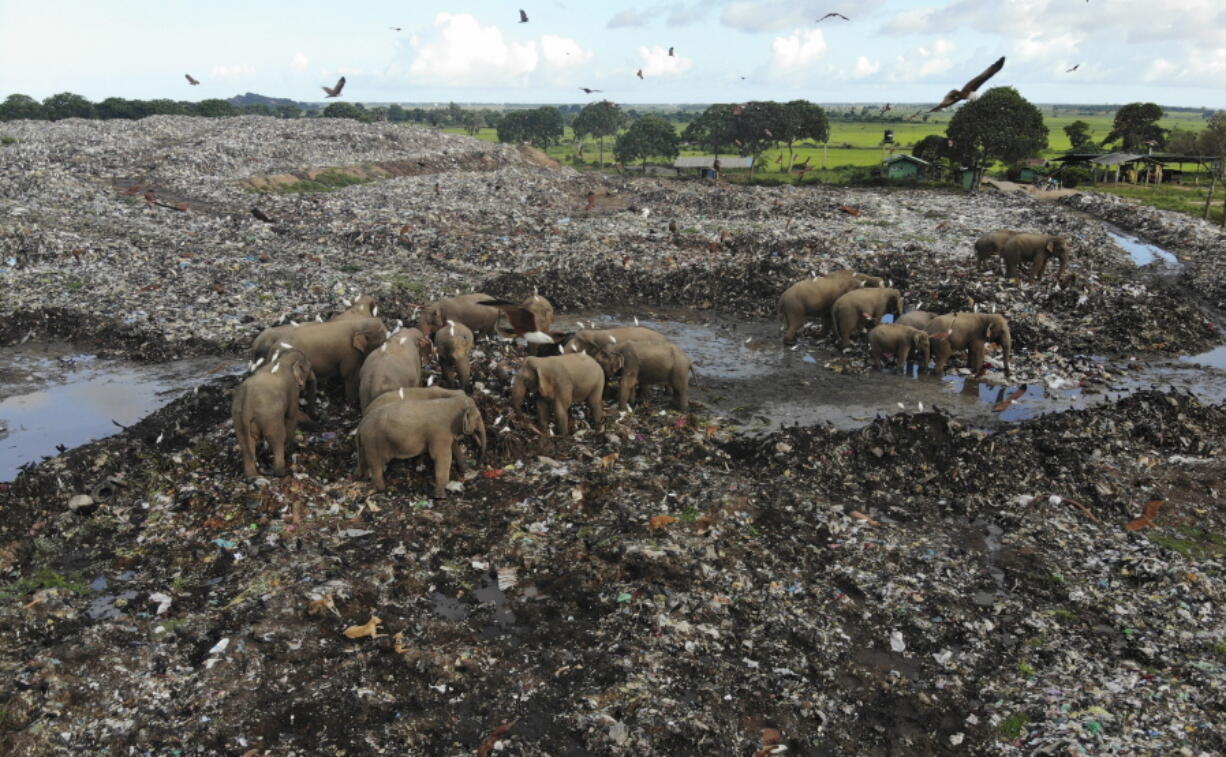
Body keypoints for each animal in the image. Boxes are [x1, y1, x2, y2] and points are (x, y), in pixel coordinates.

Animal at [230, 350, 316, 478]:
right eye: (309, 367)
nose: (314, 419)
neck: (282, 359)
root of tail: (246, 405)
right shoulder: (292, 388)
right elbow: (291, 415)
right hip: (269, 418)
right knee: (277, 438)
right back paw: (281, 472)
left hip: (238, 419)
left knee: (246, 444)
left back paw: (252, 476)